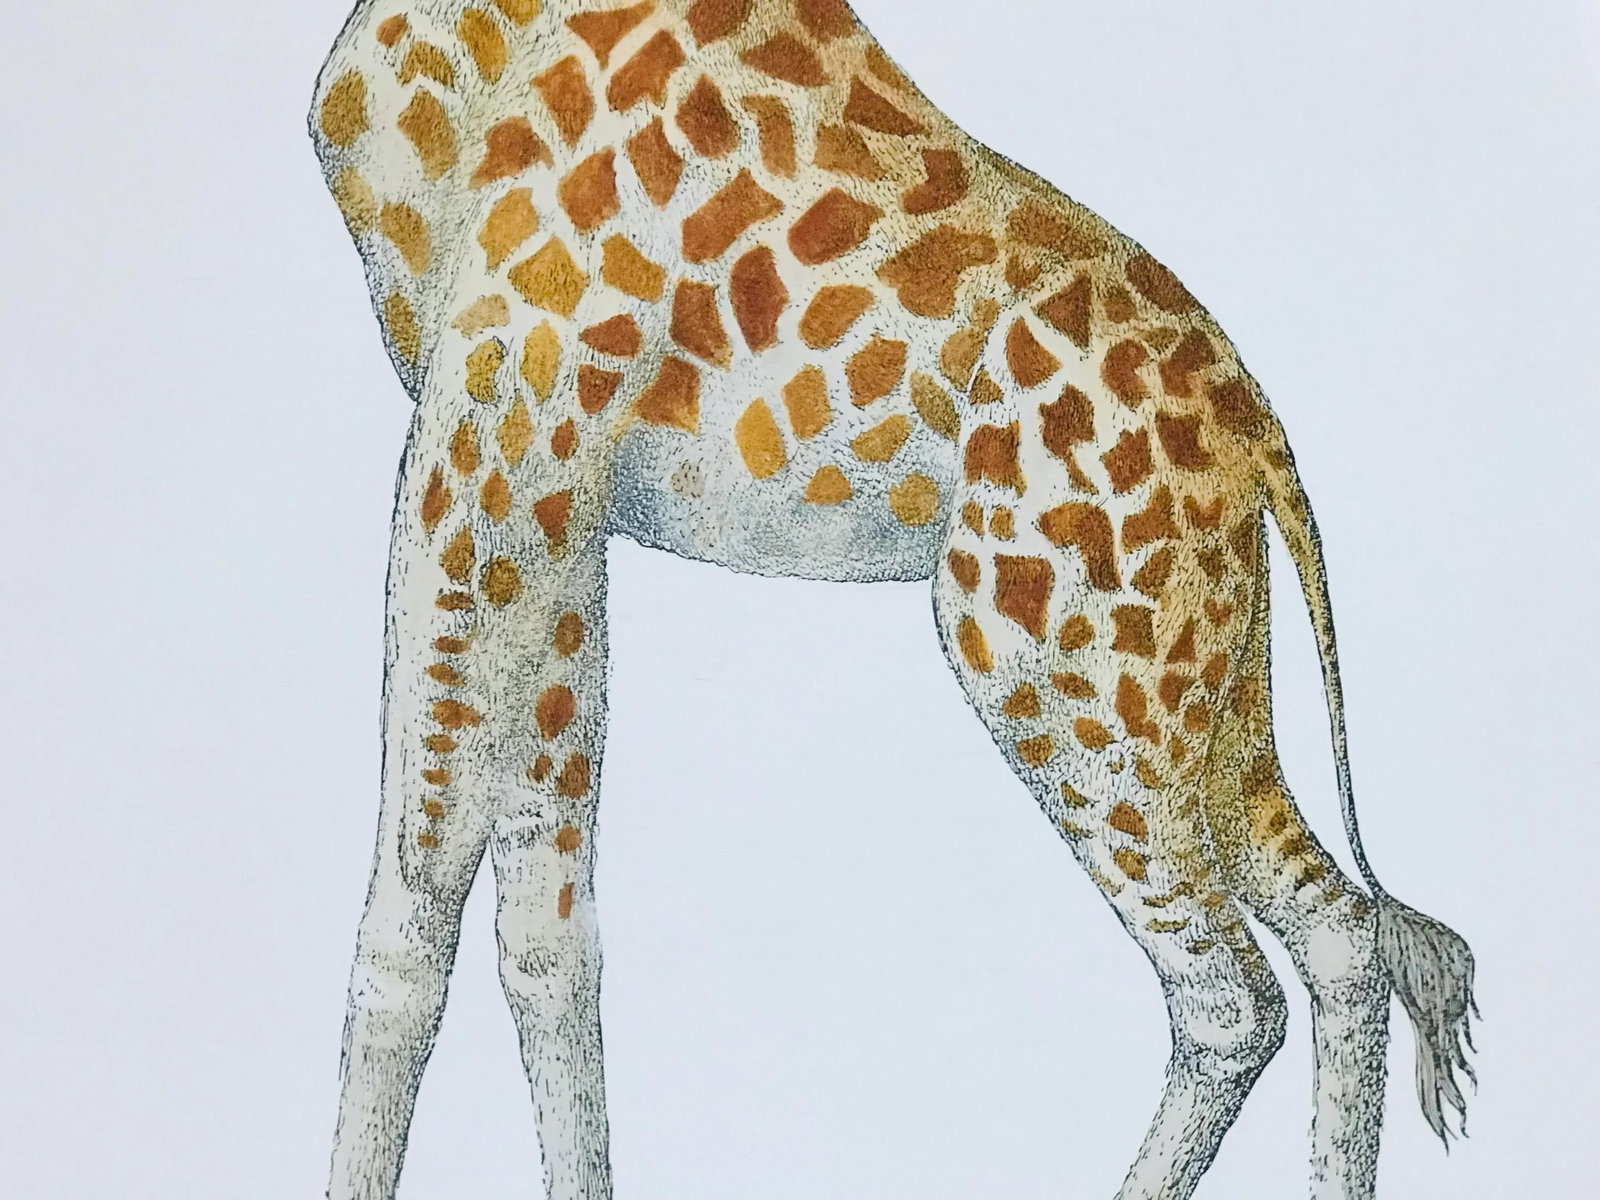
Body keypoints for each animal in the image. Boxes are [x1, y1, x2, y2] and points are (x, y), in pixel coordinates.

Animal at [309, 2, 1477, 1197]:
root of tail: (1259, 441)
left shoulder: (496, 423)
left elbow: (409, 923)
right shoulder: (549, 482)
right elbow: (550, 926)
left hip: (1055, 669)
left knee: (1231, 998)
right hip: (1207, 684)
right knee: (1343, 935)